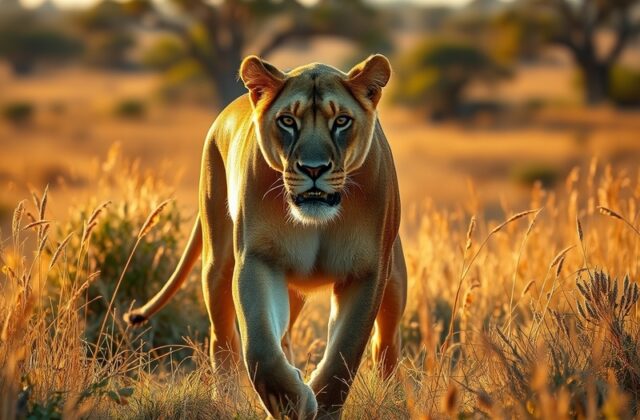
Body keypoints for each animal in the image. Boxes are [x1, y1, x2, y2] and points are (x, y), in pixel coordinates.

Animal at [124, 54, 407, 419]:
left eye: (341, 121)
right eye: (287, 121)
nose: (313, 168)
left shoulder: (368, 271)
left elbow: (344, 355)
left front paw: (320, 404)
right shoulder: (258, 259)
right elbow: (260, 345)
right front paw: (289, 402)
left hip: (394, 281)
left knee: (385, 343)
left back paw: (393, 398)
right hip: (219, 263)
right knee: (223, 337)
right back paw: (228, 399)